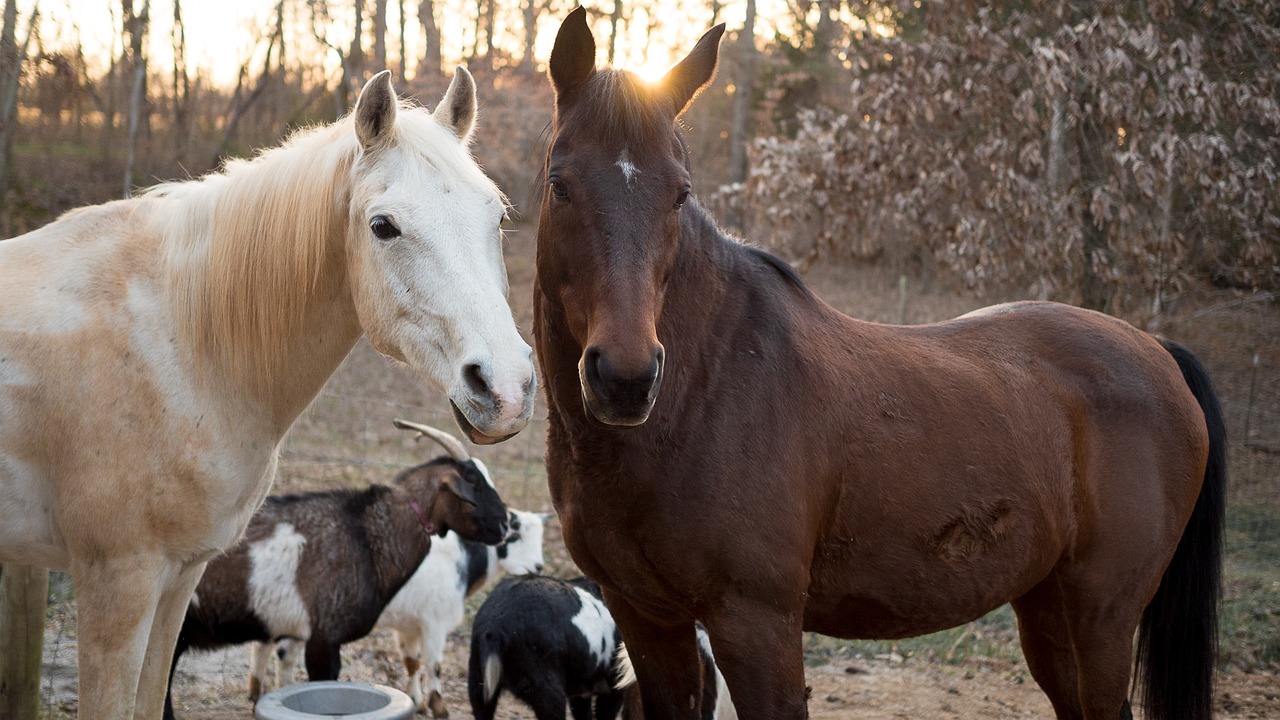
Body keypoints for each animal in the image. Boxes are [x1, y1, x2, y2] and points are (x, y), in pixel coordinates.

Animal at [532, 9, 1228, 717]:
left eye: (679, 193)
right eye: (560, 184)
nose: (625, 379)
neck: (704, 391)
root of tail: (1158, 351)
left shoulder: (757, 625)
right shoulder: (647, 619)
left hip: (1102, 616)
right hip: (1047, 608)